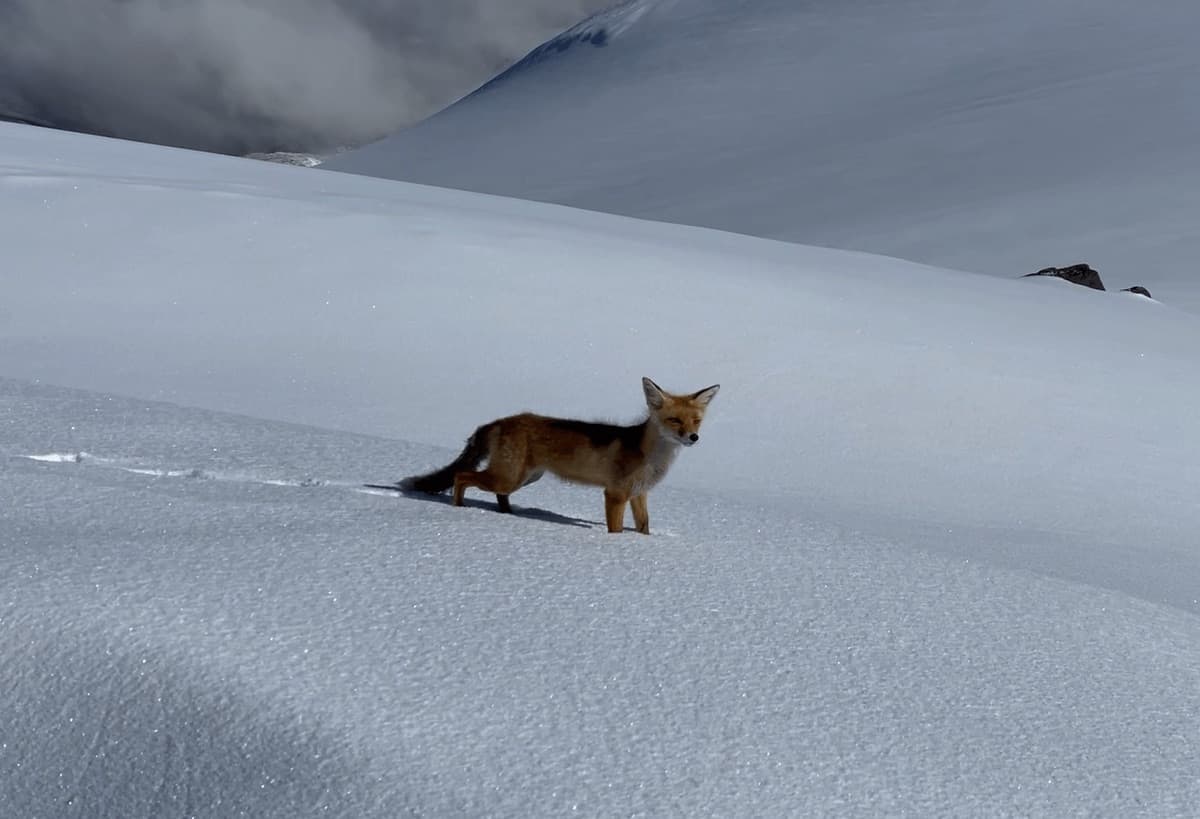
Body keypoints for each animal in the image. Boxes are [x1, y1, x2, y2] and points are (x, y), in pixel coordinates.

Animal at [399, 377, 720, 534]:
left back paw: (508, 515)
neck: (650, 457)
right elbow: (615, 530)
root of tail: (500, 420)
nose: (693, 438)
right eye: (674, 421)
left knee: (492, 491)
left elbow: (644, 528)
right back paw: (459, 509)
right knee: (460, 476)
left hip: (524, 478)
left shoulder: (639, 494)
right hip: (508, 477)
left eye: (696, 421)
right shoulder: (615, 493)